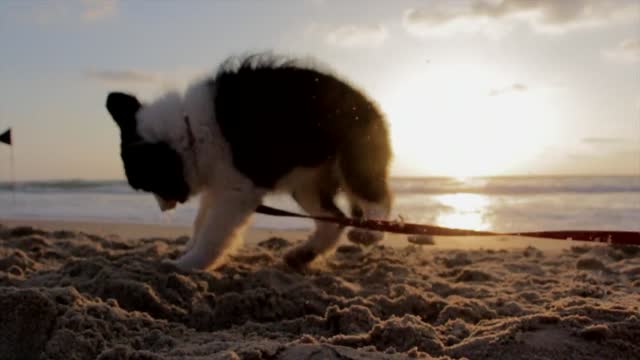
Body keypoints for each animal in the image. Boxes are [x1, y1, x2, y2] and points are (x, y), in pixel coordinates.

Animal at [107, 54, 392, 270]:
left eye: (150, 184)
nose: (163, 208)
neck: (189, 132)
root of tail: (370, 105)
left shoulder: (235, 190)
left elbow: (213, 231)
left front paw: (188, 263)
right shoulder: (218, 183)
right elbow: (201, 220)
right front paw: (188, 250)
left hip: (353, 157)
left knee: (376, 199)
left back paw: (370, 231)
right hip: (307, 182)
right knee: (333, 220)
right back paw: (303, 254)